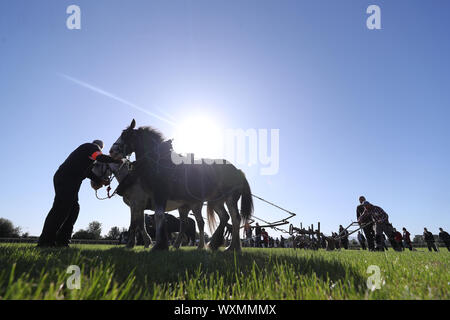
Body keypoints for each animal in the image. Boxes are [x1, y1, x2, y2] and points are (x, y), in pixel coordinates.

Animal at [107, 119, 251, 251]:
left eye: (126, 134)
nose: (112, 151)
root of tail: (238, 170)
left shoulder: (157, 195)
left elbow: (156, 216)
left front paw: (158, 245)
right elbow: (147, 220)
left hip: (230, 199)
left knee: (235, 219)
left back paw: (232, 247)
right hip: (216, 201)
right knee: (224, 218)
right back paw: (215, 245)